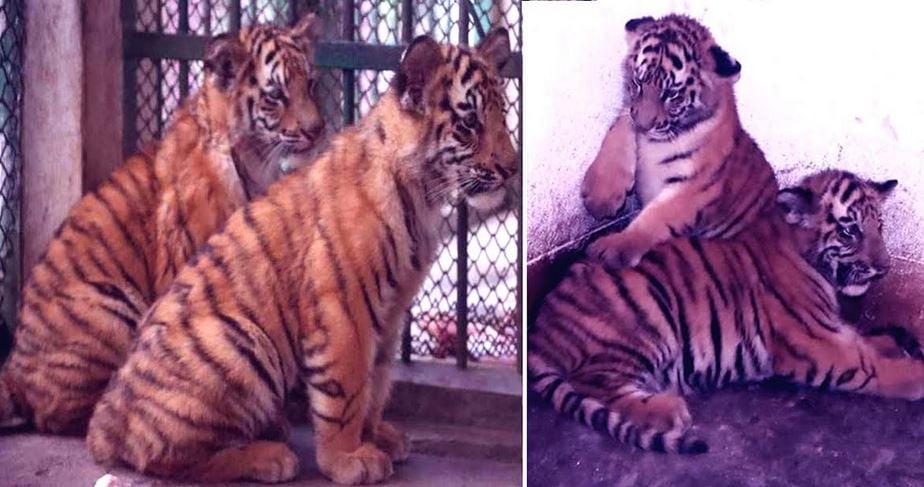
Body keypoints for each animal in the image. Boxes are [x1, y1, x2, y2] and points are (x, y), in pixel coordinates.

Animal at [0, 14, 326, 435]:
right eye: (276, 95)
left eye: (311, 83)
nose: (317, 130)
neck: (256, 159)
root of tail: (13, 369)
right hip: (110, 303)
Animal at [85, 28, 517, 484]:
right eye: (469, 123)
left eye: (501, 115)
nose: (513, 168)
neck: (423, 196)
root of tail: (102, 425)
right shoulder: (345, 306)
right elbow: (347, 390)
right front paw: (347, 459)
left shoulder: (392, 310)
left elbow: (378, 379)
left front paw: (377, 435)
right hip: (240, 340)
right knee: (170, 456)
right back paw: (270, 456)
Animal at [529, 169, 911, 454]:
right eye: (849, 231)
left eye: (879, 227)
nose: (884, 268)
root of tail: (540, 331)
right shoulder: (819, 345)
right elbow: (883, 370)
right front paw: (912, 372)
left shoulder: (832, 331)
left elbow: (866, 342)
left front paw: (894, 344)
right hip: (644, 317)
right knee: (592, 381)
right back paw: (668, 410)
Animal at [580, 14, 778, 270]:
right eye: (637, 82)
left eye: (671, 95)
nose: (644, 126)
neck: (655, 141)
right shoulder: (630, 113)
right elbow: (619, 131)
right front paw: (601, 197)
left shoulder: (695, 185)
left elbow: (657, 216)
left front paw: (615, 247)